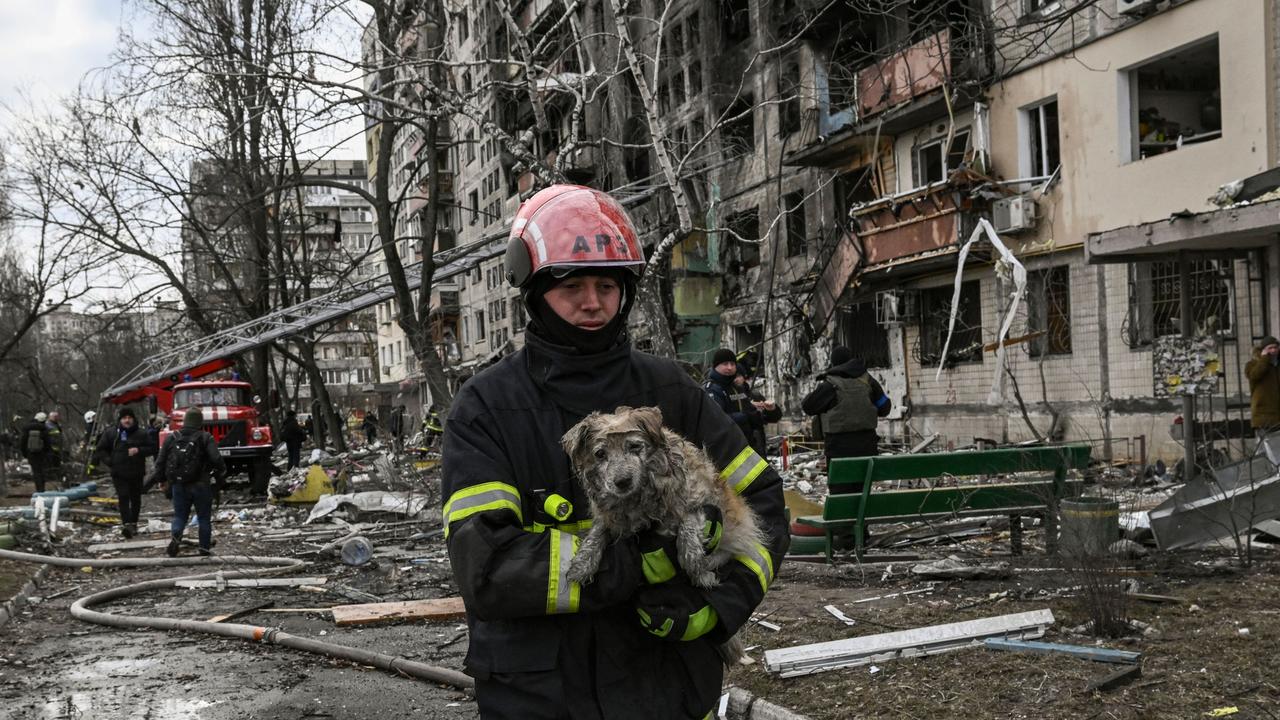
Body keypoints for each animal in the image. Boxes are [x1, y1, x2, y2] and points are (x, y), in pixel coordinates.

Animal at [560, 407, 757, 591]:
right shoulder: (612, 516)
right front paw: (582, 563)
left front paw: (699, 571)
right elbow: (598, 531)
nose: (622, 482)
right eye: (600, 453)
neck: (639, 496)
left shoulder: (702, 501)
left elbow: (687, 528)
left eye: (634, 446)